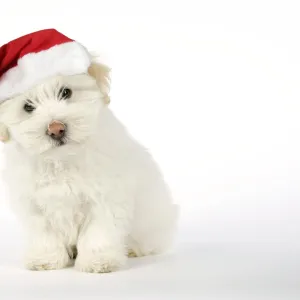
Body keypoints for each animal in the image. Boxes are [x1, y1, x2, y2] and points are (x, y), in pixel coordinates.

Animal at [0, 52, 178, 274]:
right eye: (27, 107)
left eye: (66, 92)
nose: (56, 129)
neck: (63, 159)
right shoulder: (33, 204)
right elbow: (44, 233)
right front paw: (45, 259)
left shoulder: (105, 196)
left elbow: (98, 231)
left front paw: (98, 260)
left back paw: (132, 249)